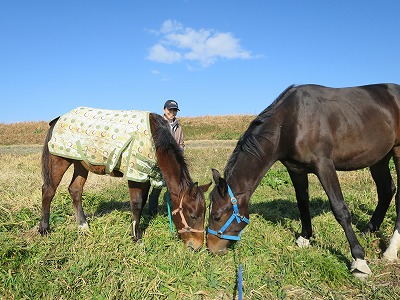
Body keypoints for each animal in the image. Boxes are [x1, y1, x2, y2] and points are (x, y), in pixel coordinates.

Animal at [39, 106, 211, 250]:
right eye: (193, 215)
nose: (197, 246)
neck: (155, 139)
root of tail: (57, 119)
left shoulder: (144, 175)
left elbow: (142, 203)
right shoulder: (134, 174)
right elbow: (136, 203)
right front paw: (138, 238)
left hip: (81, 164)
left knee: (75, 190)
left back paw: (83, 226)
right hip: (60, 160)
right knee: (49, 190)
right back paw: (44, 229)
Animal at [206, 83, 400, 278]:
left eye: (217, 216)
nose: (211, 248)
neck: (290, 122)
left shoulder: (324, 165)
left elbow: (340, 210)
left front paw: (359, 260)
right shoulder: (296, 170)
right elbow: (302, 203)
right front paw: (305, 237)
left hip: (397, 152)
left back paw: (391, 250)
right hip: (379, 158)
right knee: (386, 190)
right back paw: (369, 230)